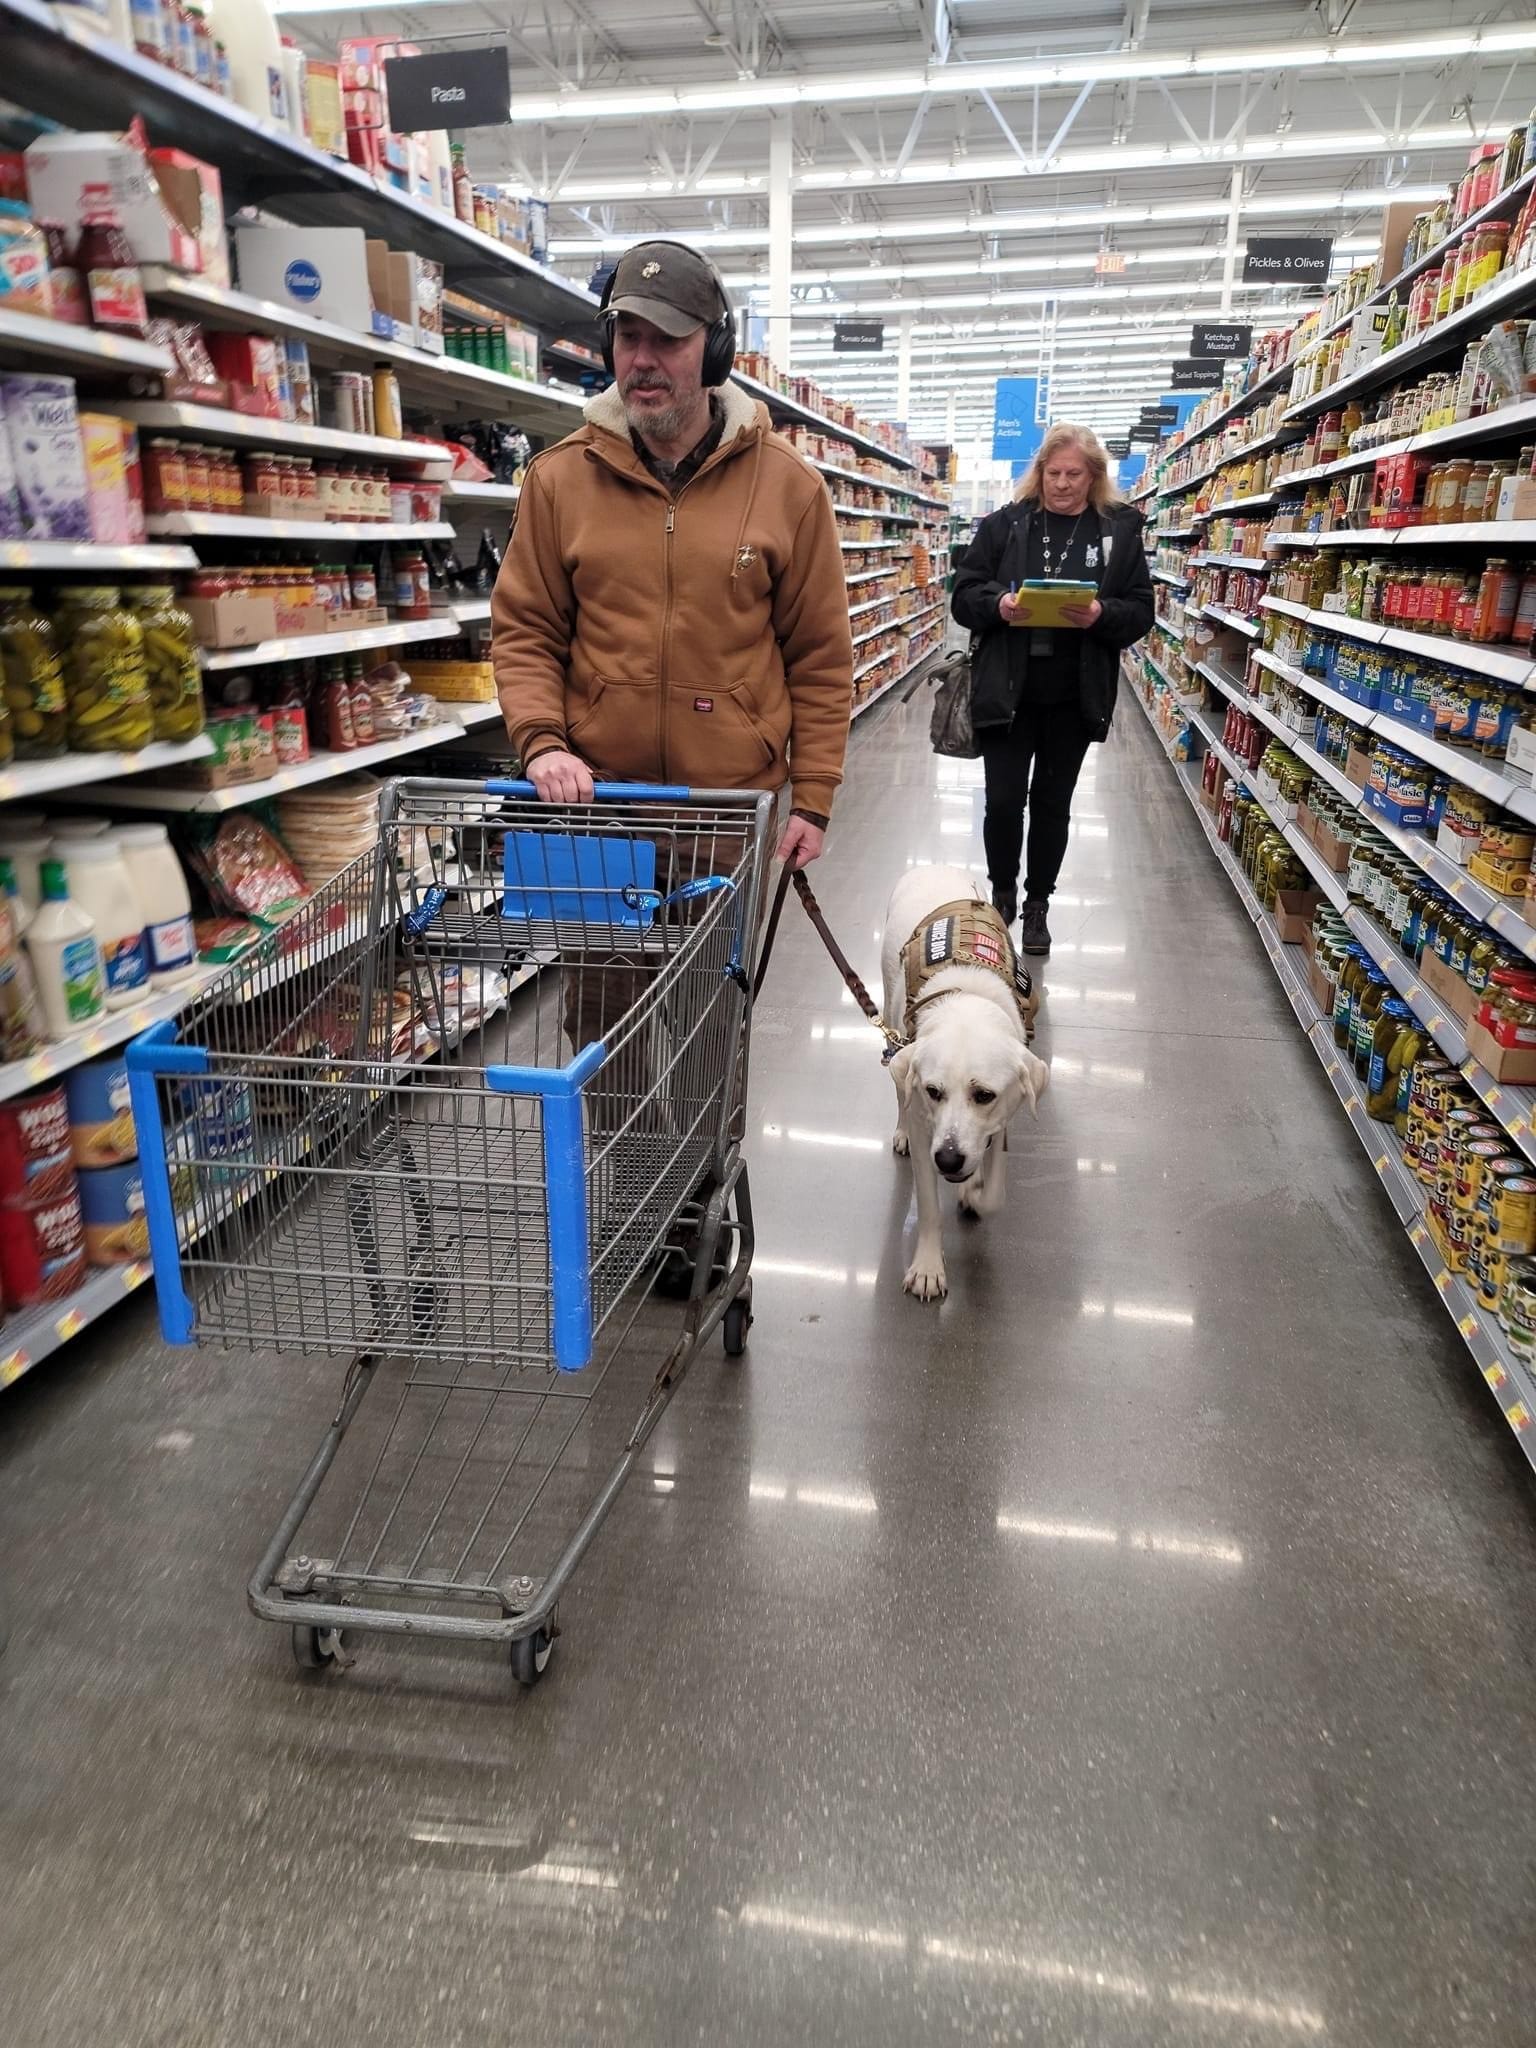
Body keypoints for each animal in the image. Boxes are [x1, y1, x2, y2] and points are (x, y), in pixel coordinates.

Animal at [884, 864, 1056, 1294]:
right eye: (933, 1091)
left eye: (984, 1095)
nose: (947, 1158)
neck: (966, 1000)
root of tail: (934, 866)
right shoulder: (925, 1127)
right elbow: (929, 1207)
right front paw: (928, 1267)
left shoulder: (1000, 1122)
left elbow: (993, 1192)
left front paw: (974, 1195)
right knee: (898, 1090)